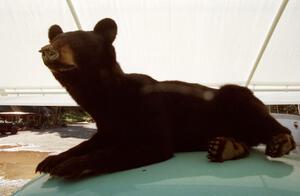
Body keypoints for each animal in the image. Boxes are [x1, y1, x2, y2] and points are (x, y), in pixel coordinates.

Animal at [35, 18, 296, 179]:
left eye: (77, 41)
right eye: (55, 39)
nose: (47, 50)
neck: (107, 98)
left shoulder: (150, 107)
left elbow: (149, 145)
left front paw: (68, 166)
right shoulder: (107, 124)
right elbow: (91, 141)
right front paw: (51, 161)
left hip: (236, 100)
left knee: (257, 113)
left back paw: (280, 141)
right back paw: (226, 147)